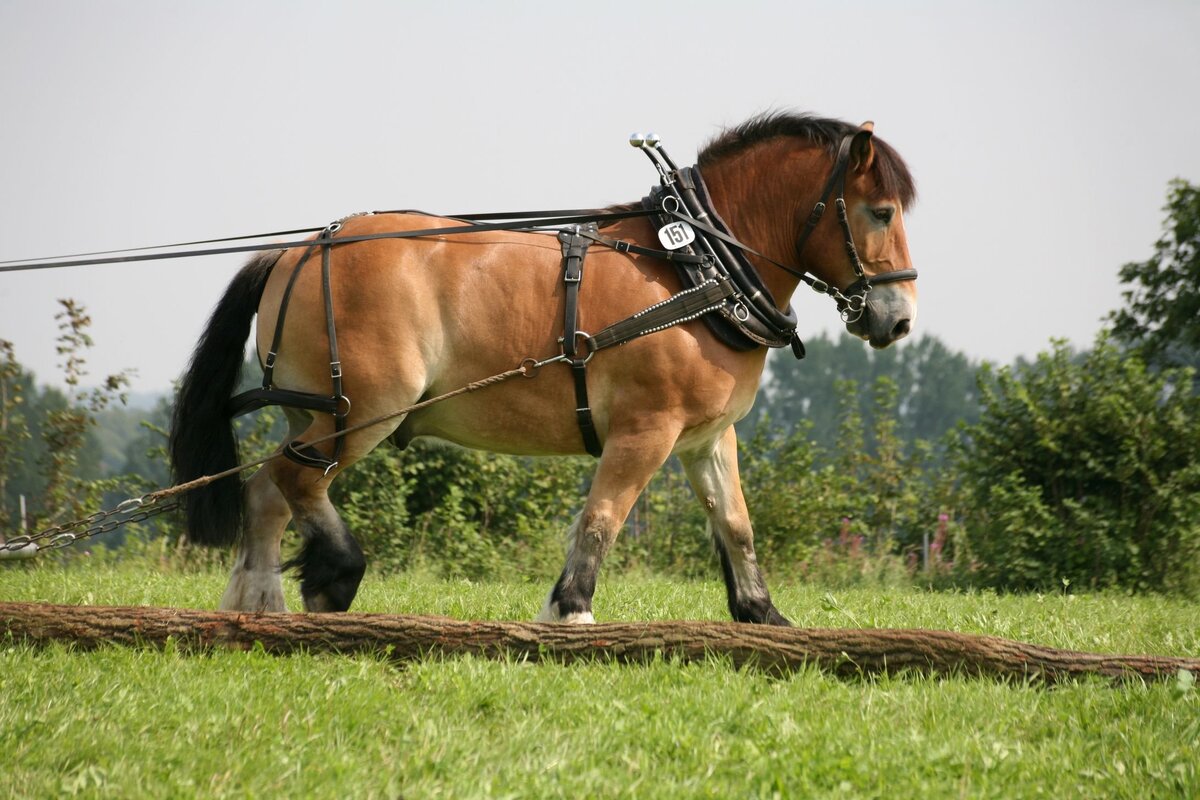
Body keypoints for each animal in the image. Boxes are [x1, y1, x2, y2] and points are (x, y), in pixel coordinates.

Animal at [171, 112, 916, 623]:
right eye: (880, 212)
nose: (899, 318)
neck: (696, 269)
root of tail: (296, 251)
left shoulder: (706, 437)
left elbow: (735, 522)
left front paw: (762, 614)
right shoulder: (646, 430)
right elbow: (603, 517)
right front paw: (572, 608)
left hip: (316, 414)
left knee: (269, 490)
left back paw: (257, 602)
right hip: (365, 411)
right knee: (290, 481)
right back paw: (330, 576)